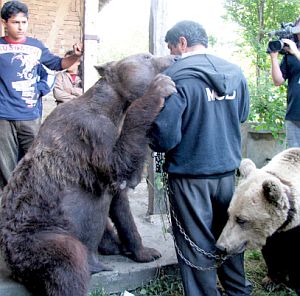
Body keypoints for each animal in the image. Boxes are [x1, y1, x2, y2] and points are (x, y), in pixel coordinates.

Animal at [0, 53, 177, 296]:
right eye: (147, 56)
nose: (173, 57)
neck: (113, 107)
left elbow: (121, 204)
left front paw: (146, 252)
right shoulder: (92, 134)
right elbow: (118, 164)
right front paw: (160, 87)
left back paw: (113, 247)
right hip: (37, 235)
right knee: (68, 261)